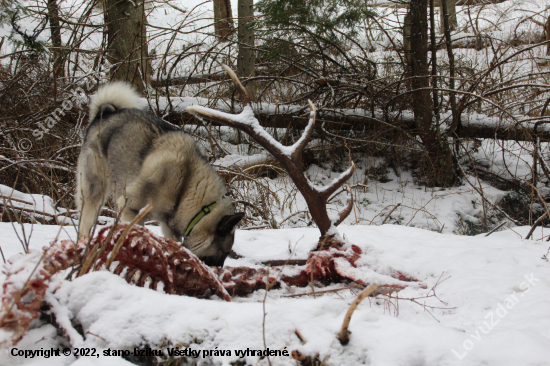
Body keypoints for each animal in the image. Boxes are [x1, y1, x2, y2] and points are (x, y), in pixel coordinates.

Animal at [77, 82, 244, 266]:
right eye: (224, 252)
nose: (219, 269)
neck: (186, 184)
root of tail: (105, 113)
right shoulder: (129, 209)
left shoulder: (168, 226)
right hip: (95, 191)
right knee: (85, 223)